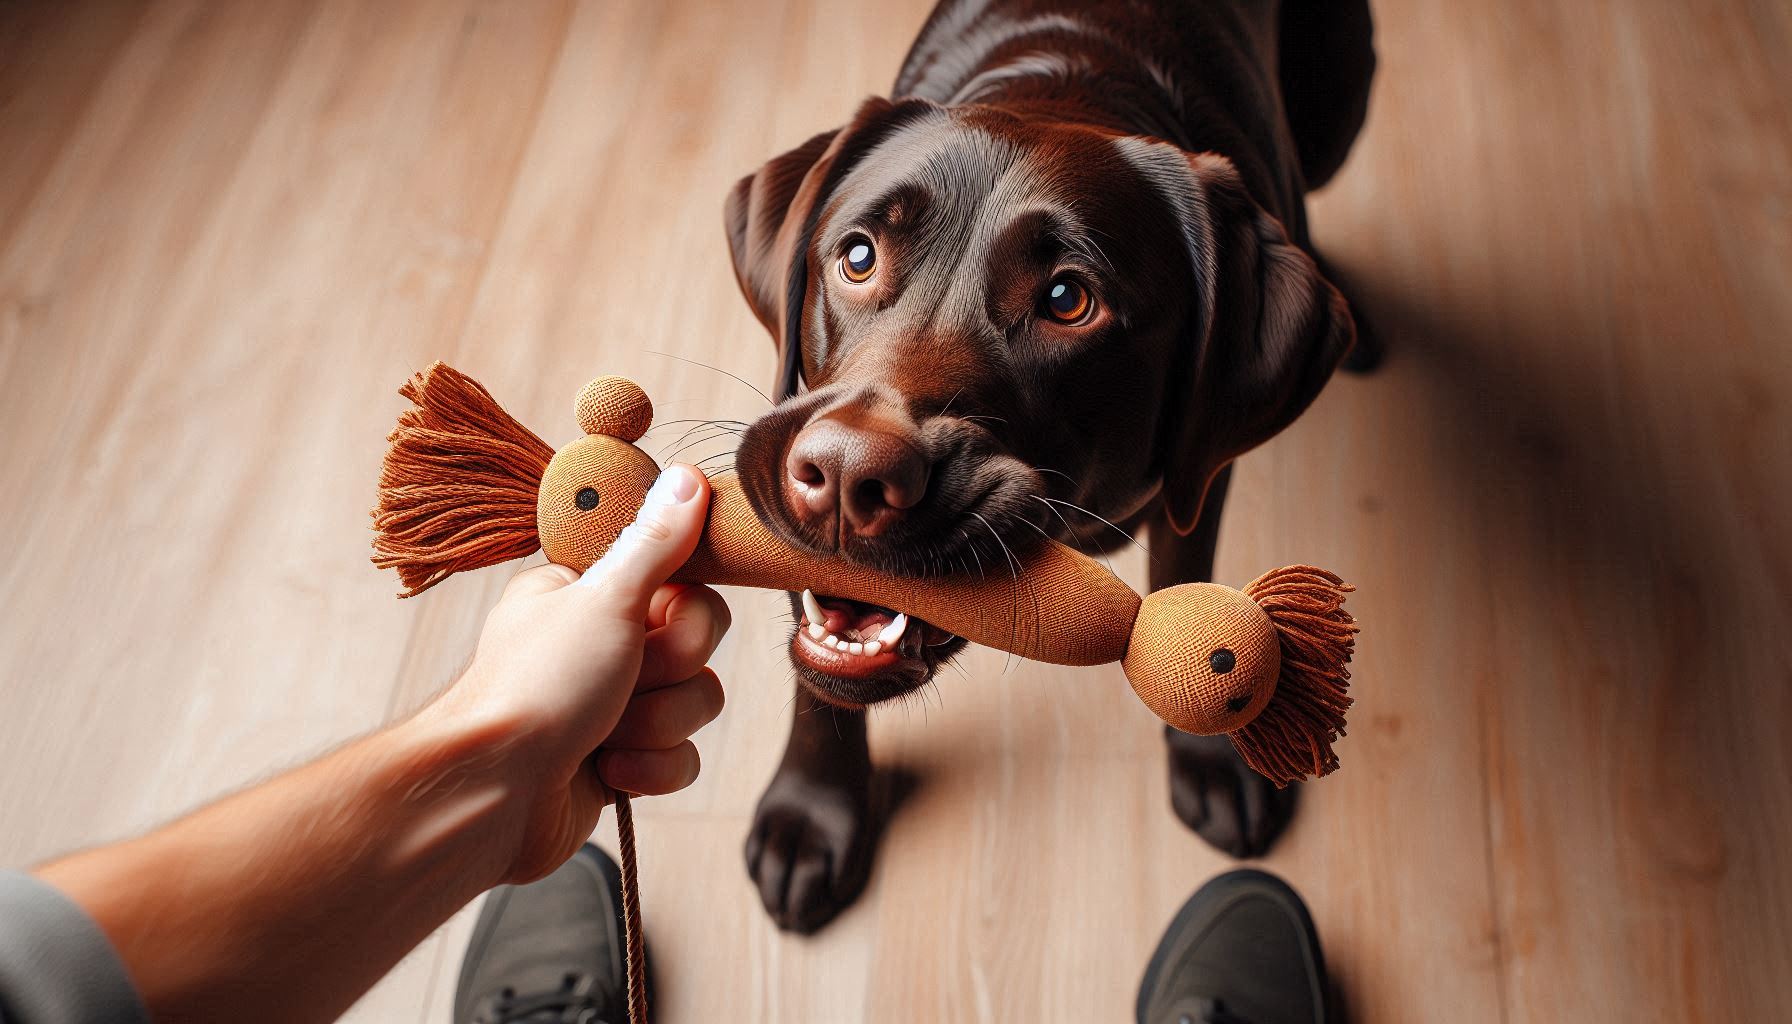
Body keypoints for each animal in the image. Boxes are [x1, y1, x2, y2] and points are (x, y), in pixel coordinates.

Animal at [720, 0, 1376, 939]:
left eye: (1070, 300)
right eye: (856, 256)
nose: (846, 474)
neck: (1062, 78)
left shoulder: (1198, 476)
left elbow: (1192, 584)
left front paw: (1215, 744)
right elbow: (821, 662)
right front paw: (813, 810)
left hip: (1339, 101)